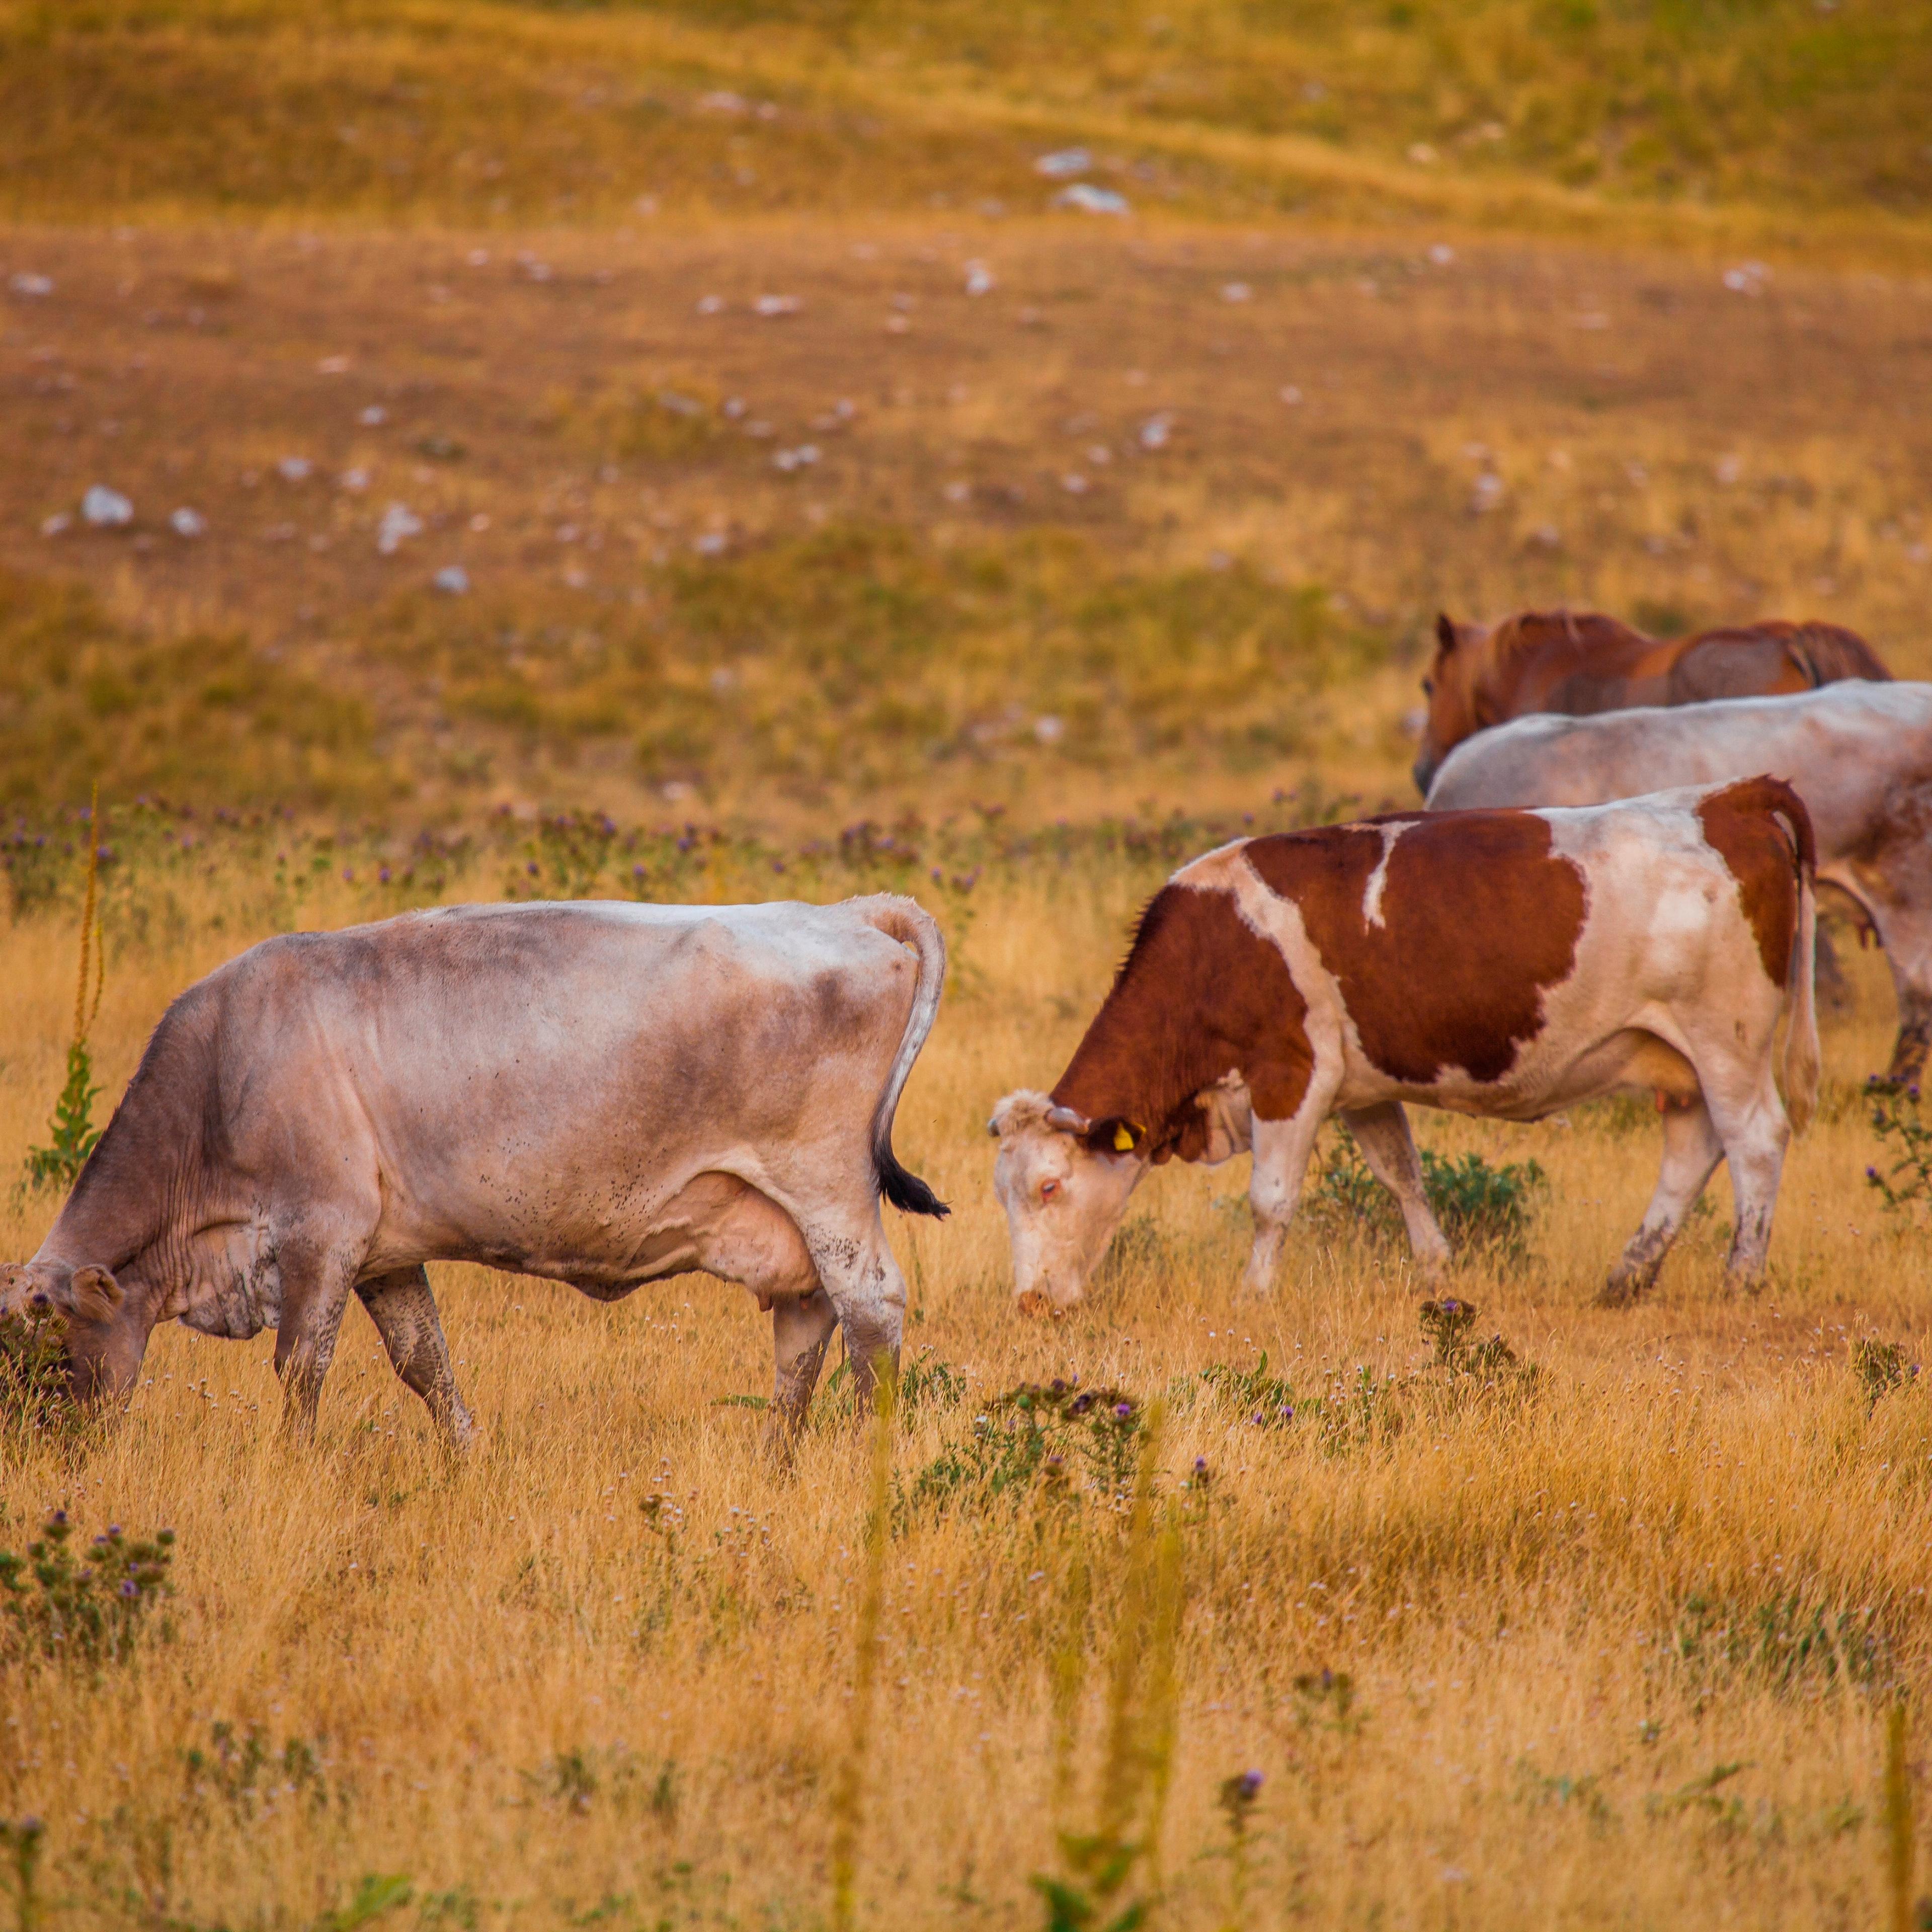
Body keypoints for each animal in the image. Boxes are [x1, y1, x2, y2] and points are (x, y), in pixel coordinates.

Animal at [0, 894, 947, 1443]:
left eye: (49, 1359)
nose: (34, 1458)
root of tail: (847, 910)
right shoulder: (383, 1256)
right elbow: (426, 1363)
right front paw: (464, 1458)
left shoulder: (320, 1235)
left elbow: (301, 1368)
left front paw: (291, 1469)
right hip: (786, 1220)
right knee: (806, 1327)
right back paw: (776, 1463)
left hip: (828, 1192)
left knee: (870, 1314)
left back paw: (862, 1457)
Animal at [991, 779, 1816, 1312]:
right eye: (1004, 1194)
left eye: (1050, 1187)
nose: (1029, 1304)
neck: (1218, 947)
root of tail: (1728, 799)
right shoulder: (1363, 1087)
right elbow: (1403, 1176)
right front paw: (1437, 1275)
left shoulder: (1292, 1075)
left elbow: (1271, 1200)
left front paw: (1254, 1295)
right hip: (1678, 1059)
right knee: (1692, 1148)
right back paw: (1626, 1278)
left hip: (1728, 1042)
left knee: (1755, 1141)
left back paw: (1742, 1277)